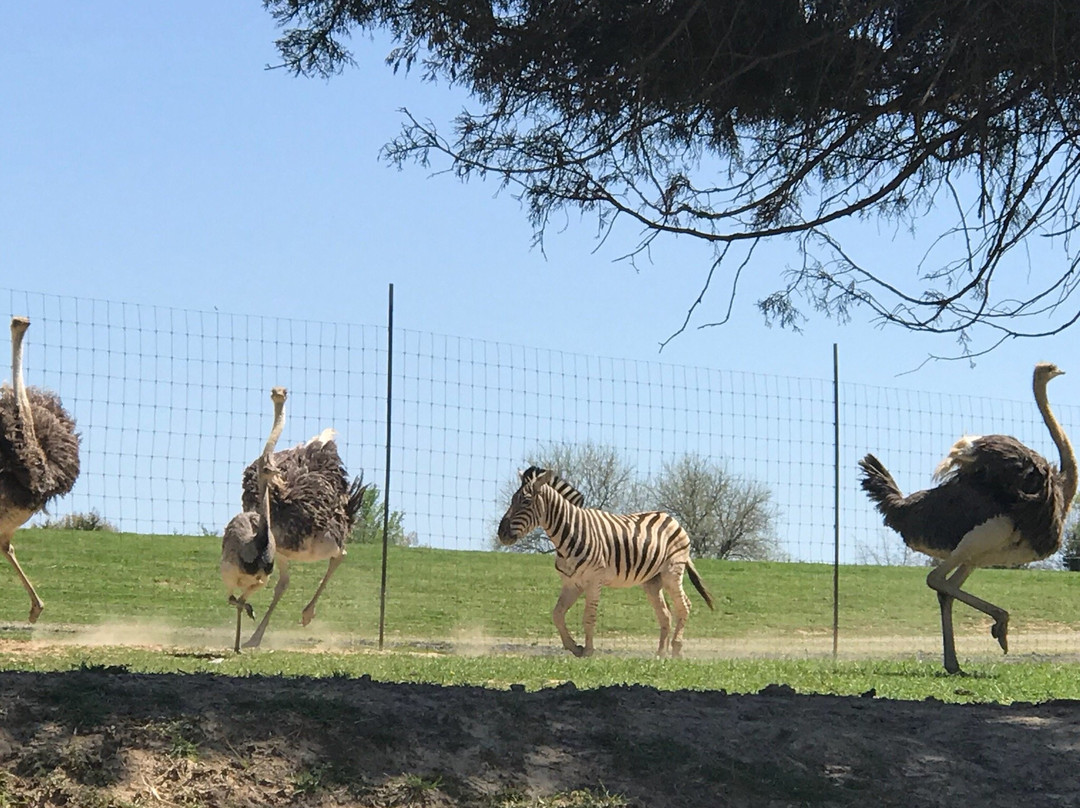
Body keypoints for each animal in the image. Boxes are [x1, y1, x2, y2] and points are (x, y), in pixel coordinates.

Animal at [498, 466, 717, 656]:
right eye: (512, 500)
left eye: (526, 502)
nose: (501, 534)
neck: (569, 533)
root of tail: (671, 518)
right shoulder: (571, 583)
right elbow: (557, 614)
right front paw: (574, 647)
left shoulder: (594, 580)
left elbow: (588, 617)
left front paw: (588, 651)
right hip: (652, 581)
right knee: (665, 614)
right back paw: (660, 654)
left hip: (672, 571)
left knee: (684, 606)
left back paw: (676, 651)